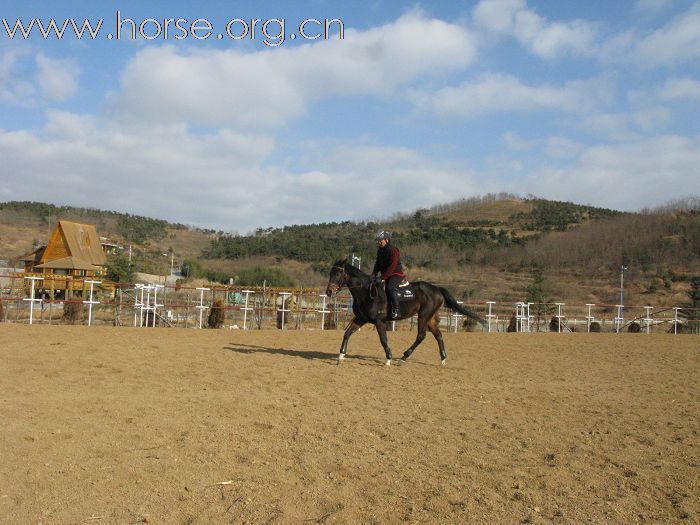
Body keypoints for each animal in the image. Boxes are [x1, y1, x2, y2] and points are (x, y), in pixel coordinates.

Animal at [324, 258, 484, 364]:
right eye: (330, 273)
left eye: (337, 274)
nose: (329, 291)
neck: (366, 292)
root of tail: (437, 289)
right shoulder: (361, 319)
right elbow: (347, 333)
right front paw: (341, 356)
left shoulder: (379, 321)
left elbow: (383, 339)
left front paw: (388, 358)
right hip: (430, 317)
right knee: (438, 335)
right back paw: (443, 358)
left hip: (423, 316)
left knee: (421, 336)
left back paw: (404, 357)